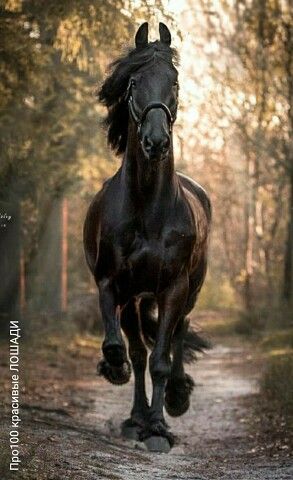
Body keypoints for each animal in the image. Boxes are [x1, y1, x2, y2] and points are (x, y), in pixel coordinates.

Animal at [83, 21, 211, 450]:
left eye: (174, 82)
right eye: (134, 81)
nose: (156, 142)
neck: (147, 210)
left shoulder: (172, 289)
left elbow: (160, 361)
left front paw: (158, 428)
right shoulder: (113, 284)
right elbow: (125, 349)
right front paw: (115, 370)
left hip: (189, 292)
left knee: (176, 337)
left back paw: (176, 398)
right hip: (138, 299)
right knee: (140, 349)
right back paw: (135, 415)